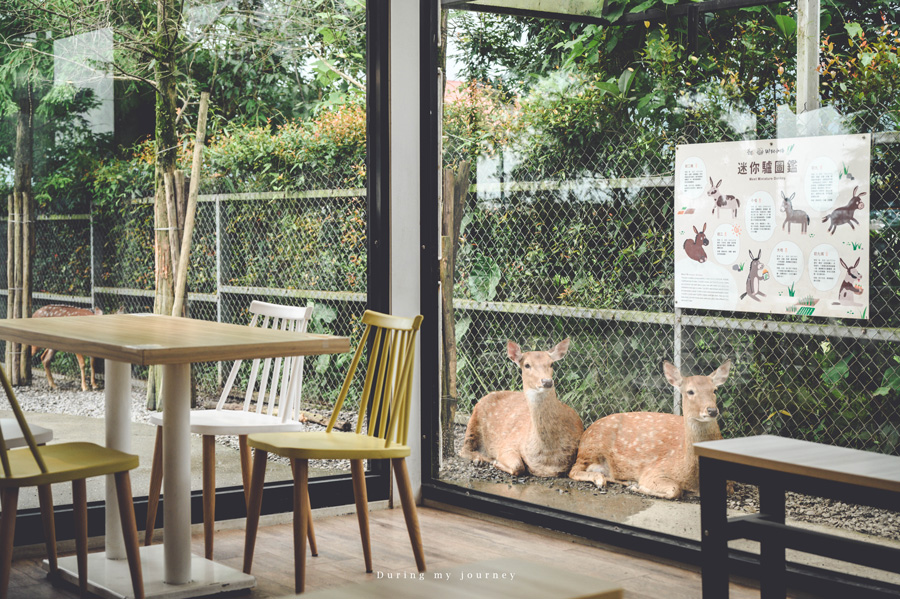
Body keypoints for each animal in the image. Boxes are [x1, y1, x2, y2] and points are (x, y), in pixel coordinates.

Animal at [460, 340, 588, 480]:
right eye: (527, 365)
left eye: (551, 363)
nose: (547, 381)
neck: (548, 458)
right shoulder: (507, 444)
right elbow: (518, 465)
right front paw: (496, 462)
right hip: (473, 421)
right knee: (463, 450)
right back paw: (481, 460)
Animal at [568, 358, 732, 500]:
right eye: (690, 391)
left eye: (715, 390)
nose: (712, 410)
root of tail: (585, 433)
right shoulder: (654, 470)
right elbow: (675, 489)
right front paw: (637, 487)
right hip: (591, 448)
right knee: (574, 470)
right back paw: (602, 481)